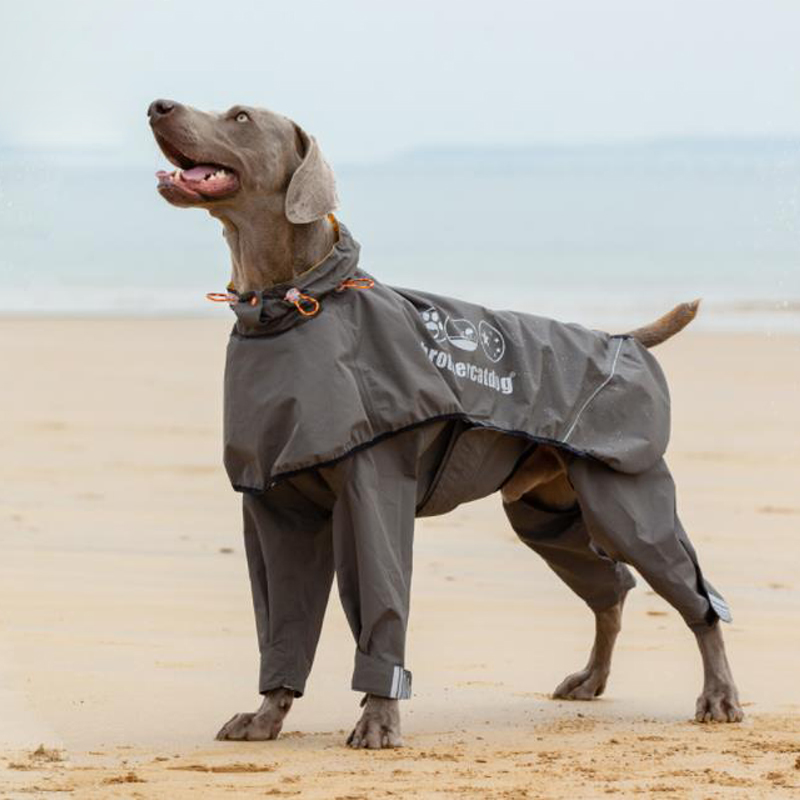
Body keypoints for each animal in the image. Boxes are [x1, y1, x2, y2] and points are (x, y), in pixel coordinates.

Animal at [145, 100, 744, 752]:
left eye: (240, 117)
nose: (158, 105)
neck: (294, 307)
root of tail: (622, 340)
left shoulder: (372, 493)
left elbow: (381, 607)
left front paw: (378, 721)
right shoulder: (274, 505)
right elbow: (281, 622)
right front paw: (266, 716)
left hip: (628, 504)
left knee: (698, 600)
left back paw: (719, 697)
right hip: (549, 512)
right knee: (610, 592)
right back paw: (591, 680)